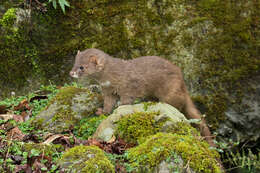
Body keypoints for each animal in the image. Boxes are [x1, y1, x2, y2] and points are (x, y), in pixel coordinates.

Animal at [69, 47, 215, 146]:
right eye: (74, 63)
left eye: (82, 67)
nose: (71, 73)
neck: (110, 79)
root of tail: (182, 82)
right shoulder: (108, 91)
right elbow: (108, 104)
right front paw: (101, 112)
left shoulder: (128, 87)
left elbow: (126, 100)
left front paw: (120, 108)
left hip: (171, 92)